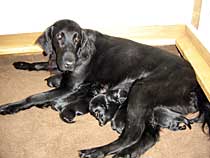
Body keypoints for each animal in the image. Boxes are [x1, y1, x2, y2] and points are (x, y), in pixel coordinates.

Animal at [0, 19, 210, 158]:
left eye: (76, 39)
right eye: (59, 37)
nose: (69, 63)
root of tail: (195, 82)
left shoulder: (69, 86)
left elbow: (33, 97)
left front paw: (10, 106)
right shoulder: (58, 65)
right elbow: (43, 63)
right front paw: (23, 63)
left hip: (141, 91)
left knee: (131, 134)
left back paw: (96, 151)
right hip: (152, 109)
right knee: (148, 137)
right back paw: (125, 154)